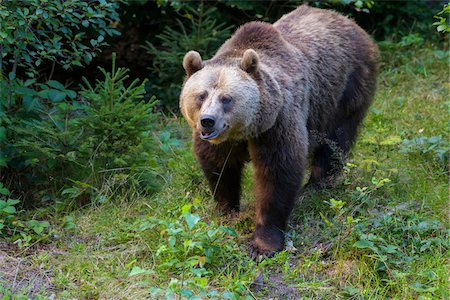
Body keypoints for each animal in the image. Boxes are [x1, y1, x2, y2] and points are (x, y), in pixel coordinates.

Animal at [178, 4, 378, 258]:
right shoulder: (223, 142)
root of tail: (345, 19)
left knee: (335, 140)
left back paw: (315, 186)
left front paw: (263, 244)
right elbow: (219, 168)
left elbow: (278, 174)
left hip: (345, 88)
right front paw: (226, 211)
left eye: (226, 98)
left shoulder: (278, 123)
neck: (246, 130)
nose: (207, 121)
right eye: (201, 95)